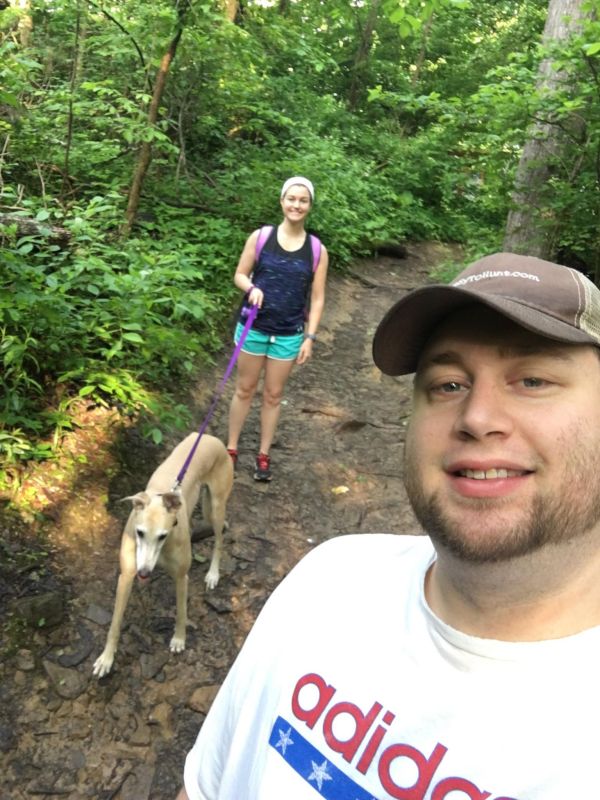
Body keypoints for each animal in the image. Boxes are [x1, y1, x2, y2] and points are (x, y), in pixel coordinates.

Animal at [92, 434, 233, 680]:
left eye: (163, 536)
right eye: (139, 532)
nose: (144, 573)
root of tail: (211, 438)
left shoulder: (181, 577)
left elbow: (181, 611)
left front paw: (179, 639)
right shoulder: (126, 575)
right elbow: (115, 623)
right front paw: (106, 659)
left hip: (215, 508)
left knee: (219, 539)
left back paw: (213, 574)